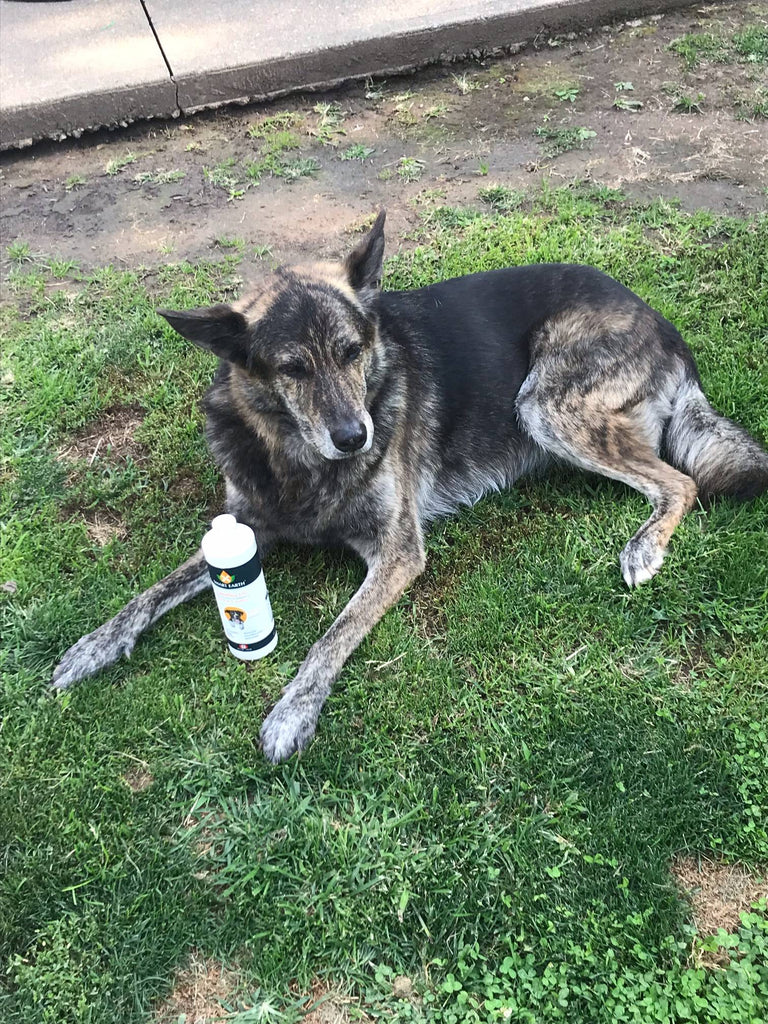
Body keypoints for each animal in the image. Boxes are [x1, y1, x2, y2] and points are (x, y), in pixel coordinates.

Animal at [52, 211, 768, 765]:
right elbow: (151, 592)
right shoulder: (246, 529)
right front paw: (93, 645)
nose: (355, 437)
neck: (300, 458)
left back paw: (645, 547)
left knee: (679, 480)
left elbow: (332, 635)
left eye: (351, 352)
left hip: (545, 405)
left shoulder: (396, 553)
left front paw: (292, 713)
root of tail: (663, 325)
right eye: (291, 369)